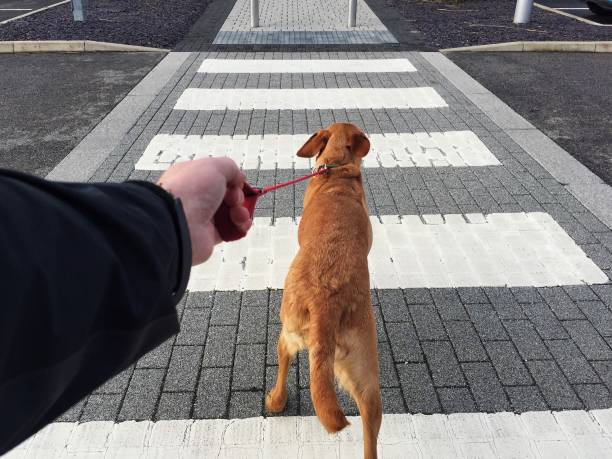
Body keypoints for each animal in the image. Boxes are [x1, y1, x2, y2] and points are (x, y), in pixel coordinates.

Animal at [266, 123, 380, 459]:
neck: (336, 168)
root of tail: (325, 303)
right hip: (366, 373)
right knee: (370, 429)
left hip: (288, 330)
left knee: (283, 361)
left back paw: (275, 400)